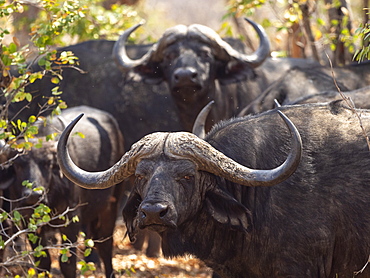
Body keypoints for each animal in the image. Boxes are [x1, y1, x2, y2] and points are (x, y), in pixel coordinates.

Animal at [0, 105, 124, 276]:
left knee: (106, 244)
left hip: (112, 203)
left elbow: (67, 263)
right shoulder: (28, 219)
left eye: (47, 163)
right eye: (18, 165)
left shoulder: (70, 219)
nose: (33, 195)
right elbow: (42, 261)